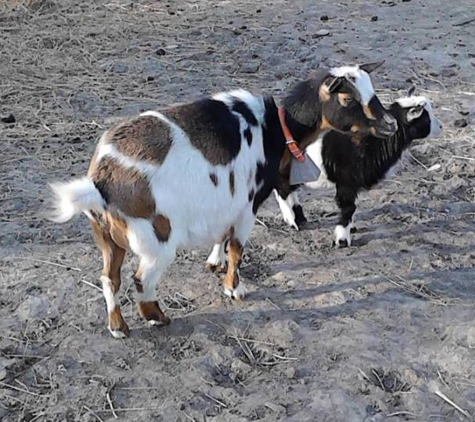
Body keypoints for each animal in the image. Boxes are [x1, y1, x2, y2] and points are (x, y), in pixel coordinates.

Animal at [48, 61, 398, 338]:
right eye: (347, 97)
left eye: (372, 90)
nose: (391, 124)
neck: (273, 129)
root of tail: (101, 179)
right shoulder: (247, 207)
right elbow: (238, 248)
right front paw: (234, 288)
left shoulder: (226, 201)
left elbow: (221, 235)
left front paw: (214, 262)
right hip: (156, 238)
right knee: (141, 280)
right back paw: (158, 317)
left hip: (107, 237)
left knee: (110, 278)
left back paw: (118, 327)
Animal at [274, 89, 444, 247]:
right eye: (426, 117)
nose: (441, 127)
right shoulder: (346, 181)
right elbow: (348, 207)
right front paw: (342, 240)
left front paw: (352, 228)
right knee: (283, 190)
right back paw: (293, 221)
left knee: (287, 188)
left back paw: (299, 218)